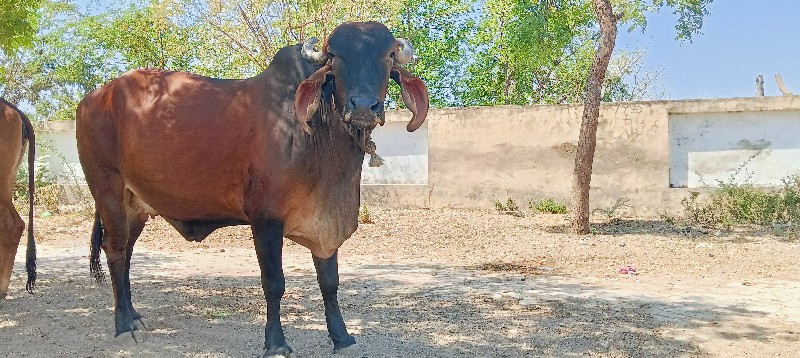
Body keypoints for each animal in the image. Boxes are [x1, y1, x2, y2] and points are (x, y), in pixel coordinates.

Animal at [79, 21, 432, 356]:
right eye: (334, 57)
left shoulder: (325, 222)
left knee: (126, 253)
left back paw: (135, 316)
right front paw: (276, 344)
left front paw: (342, 338)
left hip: (136, 206)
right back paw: (124, 325)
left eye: (388, 55)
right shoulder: (265, 219)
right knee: (115, 251)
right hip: (108, 191)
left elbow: (330, 282)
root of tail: (95, 96)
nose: (363, 107)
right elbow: (274, 283)